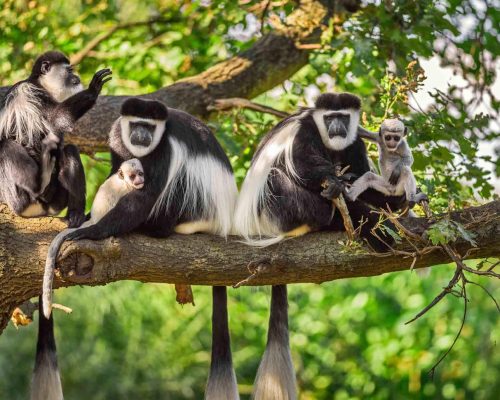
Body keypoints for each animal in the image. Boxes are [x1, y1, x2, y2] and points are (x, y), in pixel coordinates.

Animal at [56, 97, 240, 400]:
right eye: (136, 125)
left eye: (150, 127)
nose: (141, 136)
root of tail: (222, 222)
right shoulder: (117, 137)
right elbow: (116, 171)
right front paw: (87, 216)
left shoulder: (164, 149)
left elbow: (147, 195)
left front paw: (92, 230)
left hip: (194, 208)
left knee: (178, 183)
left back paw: (154, 228)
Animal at [234, 93, 406, 396]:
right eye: (329, 118)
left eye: (343, 117)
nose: (337, 126)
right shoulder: (304, 133)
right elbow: (304, 167)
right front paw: (337, 185)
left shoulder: (354, 142)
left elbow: (362, 176)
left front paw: (392, 199)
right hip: (275, 210)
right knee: (279, 178)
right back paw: (338, 215)